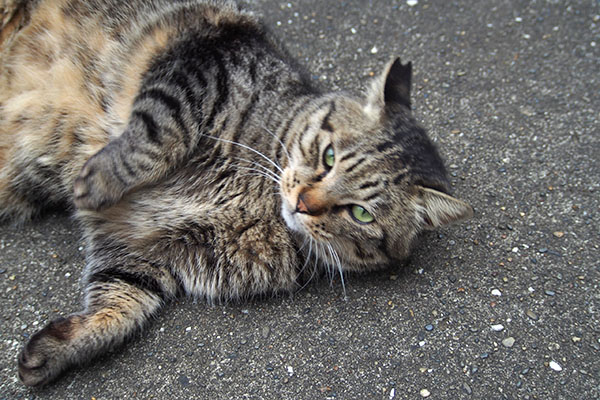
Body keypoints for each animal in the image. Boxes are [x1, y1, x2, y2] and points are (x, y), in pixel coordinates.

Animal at [0, 0, 474, 388]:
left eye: (360, 214)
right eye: (329, 155)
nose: (303, 203)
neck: (260, 197)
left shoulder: (142, 251)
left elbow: (118, 309)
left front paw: (57, 350)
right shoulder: (204, 61)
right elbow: (156, 136)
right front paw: (96, 179)